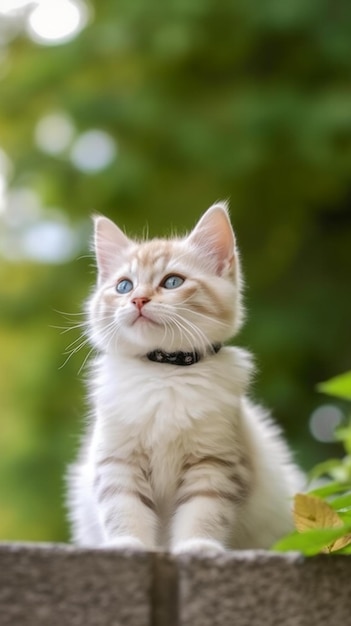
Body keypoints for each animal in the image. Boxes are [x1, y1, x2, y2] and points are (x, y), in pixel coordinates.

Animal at [67, 201, 304, 552]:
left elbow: (203, 512)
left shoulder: (215, 462)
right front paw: (127, 544)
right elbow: (123, 510)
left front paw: (198, 547)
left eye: (172, 282)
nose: (138, 299)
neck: (165, 371)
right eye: (124, 286)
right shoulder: (117, 460)